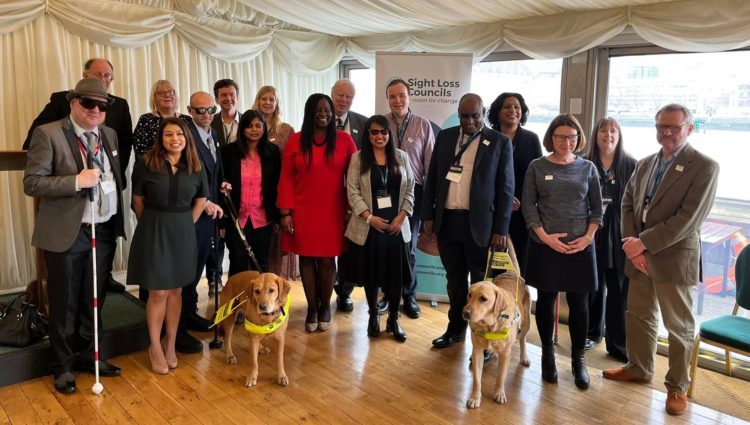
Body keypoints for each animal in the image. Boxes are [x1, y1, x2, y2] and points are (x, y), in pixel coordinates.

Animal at [462, 245, 532, 408]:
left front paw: (499, 393)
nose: (465, 313)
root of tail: (512, 272)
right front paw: (475, 398)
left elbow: (500, 377)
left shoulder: (505, 353)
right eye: (469, 294)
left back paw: (524, 356)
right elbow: (477, 379)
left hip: (527, 322)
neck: (490, 325)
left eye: (483, 299)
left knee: (523, 339)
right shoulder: (477, 351)